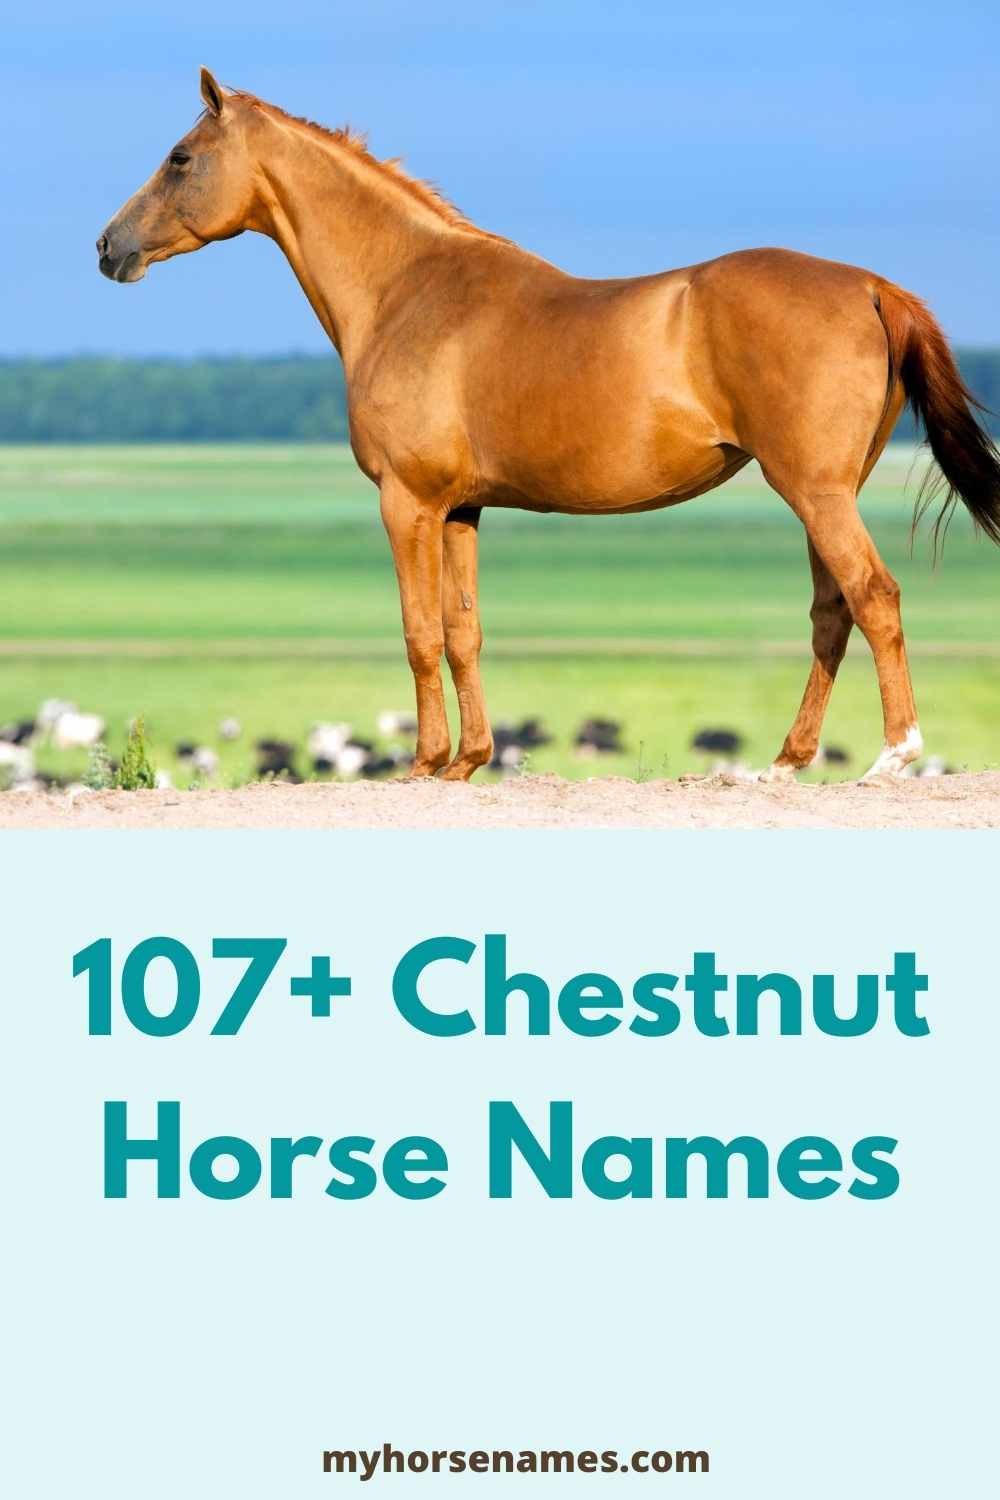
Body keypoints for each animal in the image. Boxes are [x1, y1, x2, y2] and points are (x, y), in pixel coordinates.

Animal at [97, 68, 1000, 784]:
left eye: (180, 157)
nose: (108, 247)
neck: (408, 290)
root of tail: (873, 287)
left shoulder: (405, 502)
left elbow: (419, 631)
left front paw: (423, 763)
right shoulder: (459, 509)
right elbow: (464, 631)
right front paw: (467, 761)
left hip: (815, 492)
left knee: (873, 597)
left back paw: (894, 755)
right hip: (826, 494)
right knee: (832, 613)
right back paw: (785, 761)